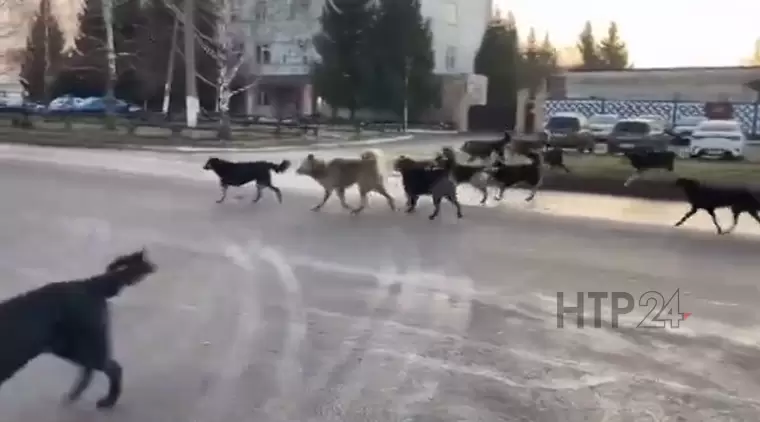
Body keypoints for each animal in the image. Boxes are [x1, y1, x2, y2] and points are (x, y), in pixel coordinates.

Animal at [0, 249, 157, 408]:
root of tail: (88, 284)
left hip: (84, 347)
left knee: (113, 369)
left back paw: (108, 401)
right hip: (69, 348)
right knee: (91, 370)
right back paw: (75, 395)